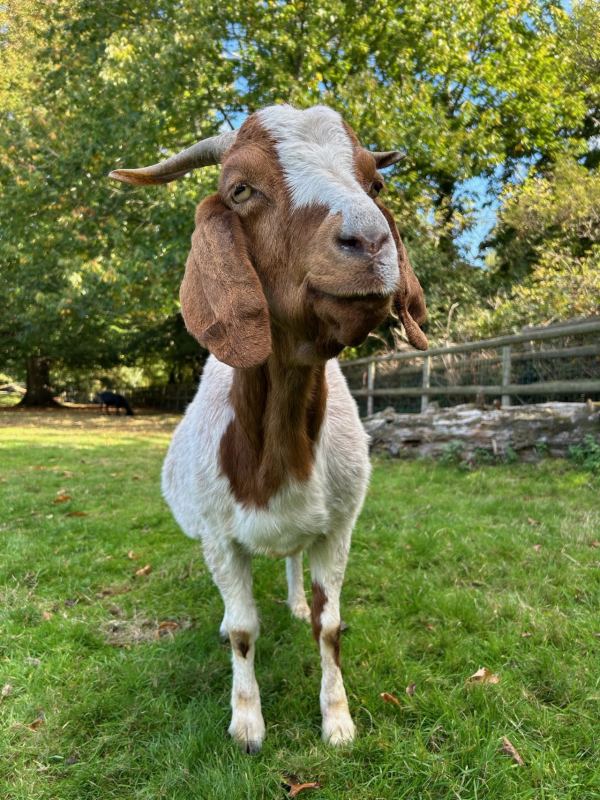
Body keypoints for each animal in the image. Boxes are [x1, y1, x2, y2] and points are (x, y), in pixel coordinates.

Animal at [110, 104, 427, 753]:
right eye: (241, 189)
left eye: (375, 184)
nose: (370, 241)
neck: (276, 449)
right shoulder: (218, 537)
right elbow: (242, 630)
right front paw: (248, 723)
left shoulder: (339, 527)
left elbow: (330, 626)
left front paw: (337, 720)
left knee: (291, 561)